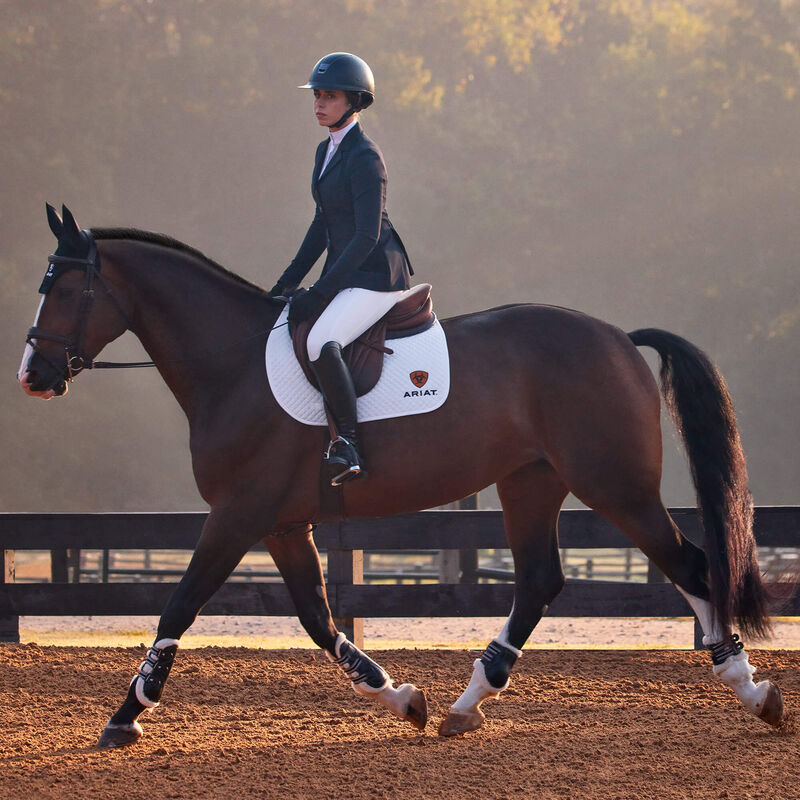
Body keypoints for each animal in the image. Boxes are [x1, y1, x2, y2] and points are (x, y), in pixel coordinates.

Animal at [18, 205, 784, 747]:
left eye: (65, 287)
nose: (34, 376)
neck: (229, 365)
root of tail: (621, 338)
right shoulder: (282, 524)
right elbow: (319, 621)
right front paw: (400, 697)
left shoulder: (237, 515)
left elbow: (177, 607)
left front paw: (125, 716)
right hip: (530, 481)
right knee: (541, 581)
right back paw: (465, 704)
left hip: (613, 483)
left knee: (690, 564)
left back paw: (752, 690)